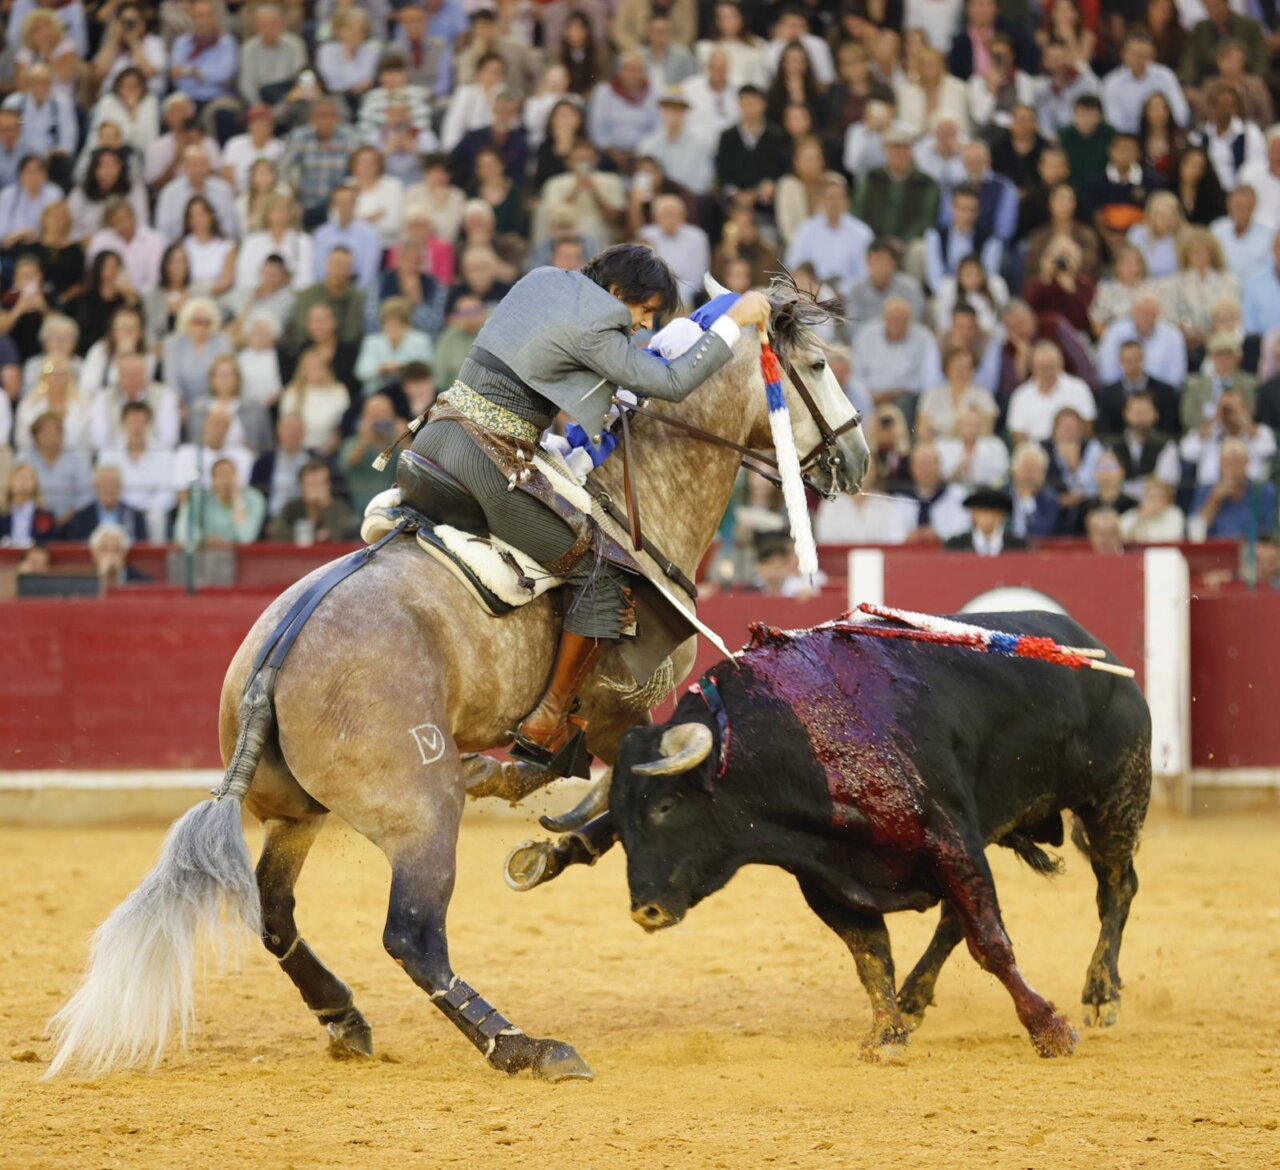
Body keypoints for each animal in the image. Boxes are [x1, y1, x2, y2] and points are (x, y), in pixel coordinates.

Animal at [47, 274, 870, 1083]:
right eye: (819, 365)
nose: (860, 457)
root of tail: (272, 663)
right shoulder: (621, 705)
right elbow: (632, 777)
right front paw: (553, 844)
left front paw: (534, 817)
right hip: (419, 816)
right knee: (412, 936)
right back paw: (525, 1047)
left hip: (296, 811)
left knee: (274, 913)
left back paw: (346, 1016)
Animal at [610, 611, 1151, 1061]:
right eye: (617, 822)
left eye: (664, 806)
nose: (645, 911)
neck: (798, 737)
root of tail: (1098, 652)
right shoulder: (828, 879)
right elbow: (872, 956)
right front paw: (887, 1036)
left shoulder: (950, 839)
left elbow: (991, 945)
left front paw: (1050, 1030)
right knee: (955, 919)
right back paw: (913, 998)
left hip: (1116, 799)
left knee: (1116, 888)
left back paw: (1101, 995)